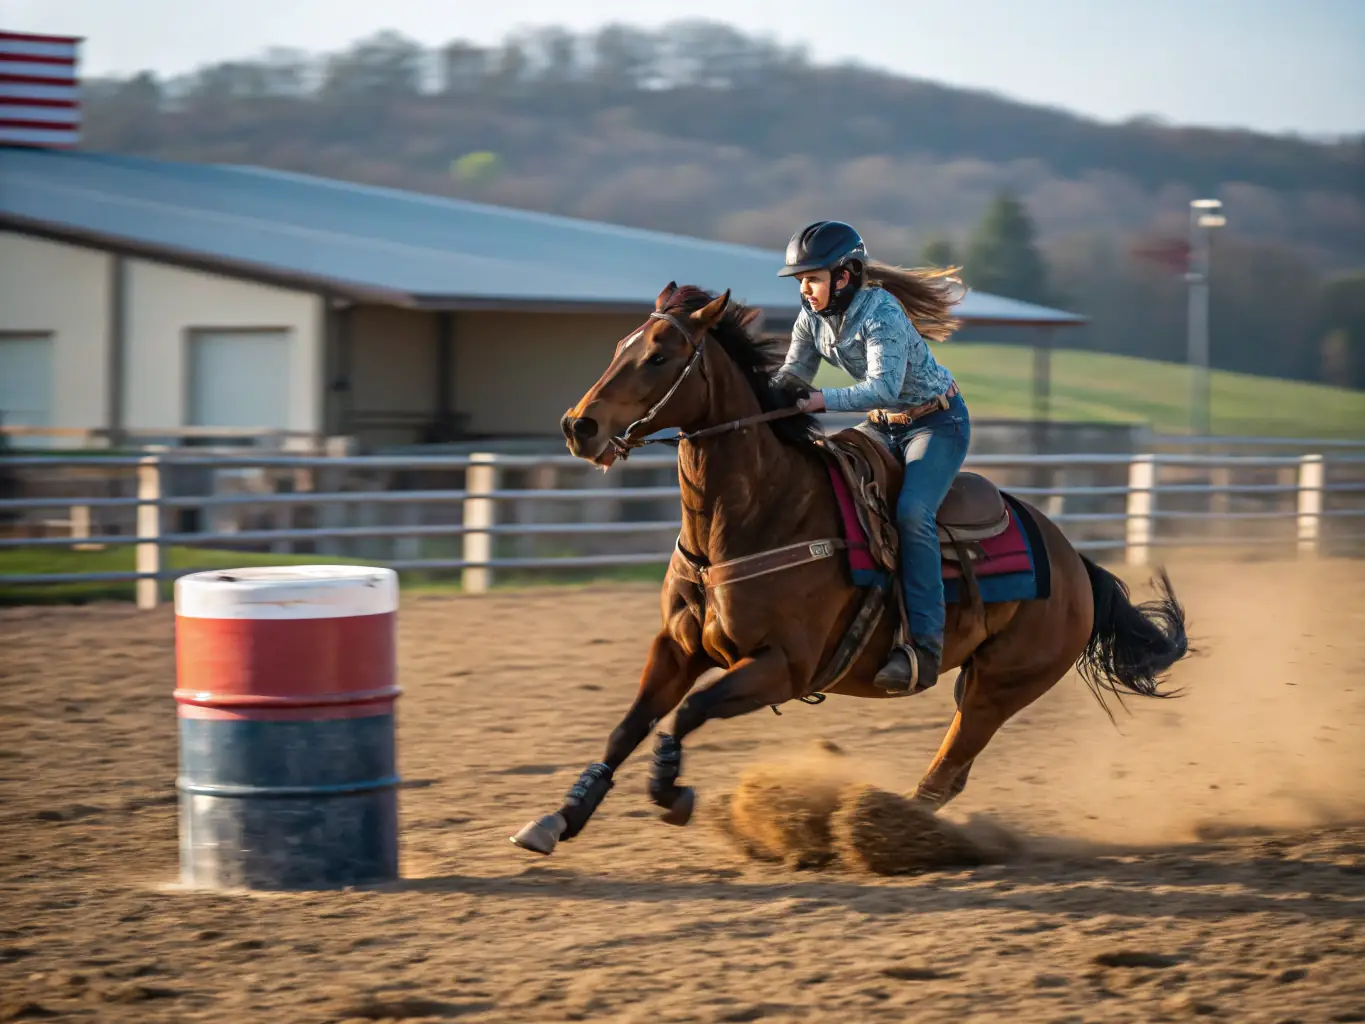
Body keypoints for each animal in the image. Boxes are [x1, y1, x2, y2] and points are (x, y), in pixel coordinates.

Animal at [510, 282, 1190, 856]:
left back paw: (891, 833)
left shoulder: (783, 667)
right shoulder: (677, 648)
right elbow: (627, 728)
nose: (578, 425)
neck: (757, 515)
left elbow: (690, 713)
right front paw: (559, 818)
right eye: (619, 347)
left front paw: (672, 793)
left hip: (1003, 685)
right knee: (954, 770)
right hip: (979, 679)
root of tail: (1073, 560)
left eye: (658, 356)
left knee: (948, 768)